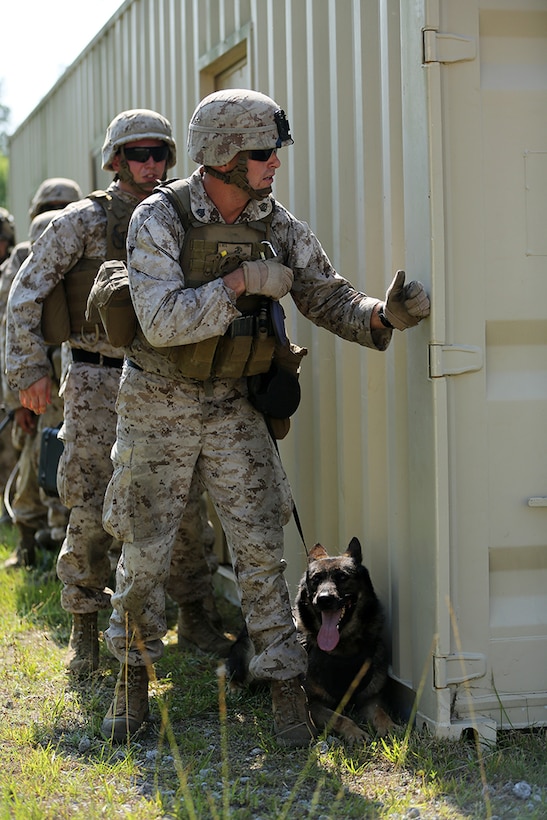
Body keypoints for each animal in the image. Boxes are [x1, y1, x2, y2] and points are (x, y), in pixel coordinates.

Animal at [225, 536, 396, 748]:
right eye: (315, 579)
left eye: (342, 577)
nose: (323, 599)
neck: (342, 649)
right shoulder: (314, 704)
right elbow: (340, 718)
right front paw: (356, 732)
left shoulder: (371, 698)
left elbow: (380, 712)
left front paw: (389, 726)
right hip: (251, 661)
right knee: (233, 671)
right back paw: (234, 689)